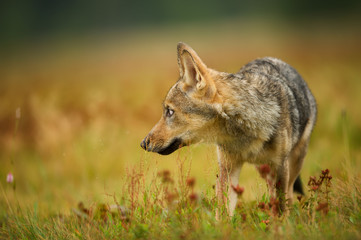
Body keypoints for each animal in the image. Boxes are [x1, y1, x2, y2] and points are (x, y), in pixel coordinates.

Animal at [140, 42, 316, 217]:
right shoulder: (228, 169)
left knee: (289, 194)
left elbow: (281, 208)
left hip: (291, 166)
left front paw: (281, 224)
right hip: (263, 169)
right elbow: (224, 211)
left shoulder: (280, 167)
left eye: (169, 111)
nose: (143, 144)